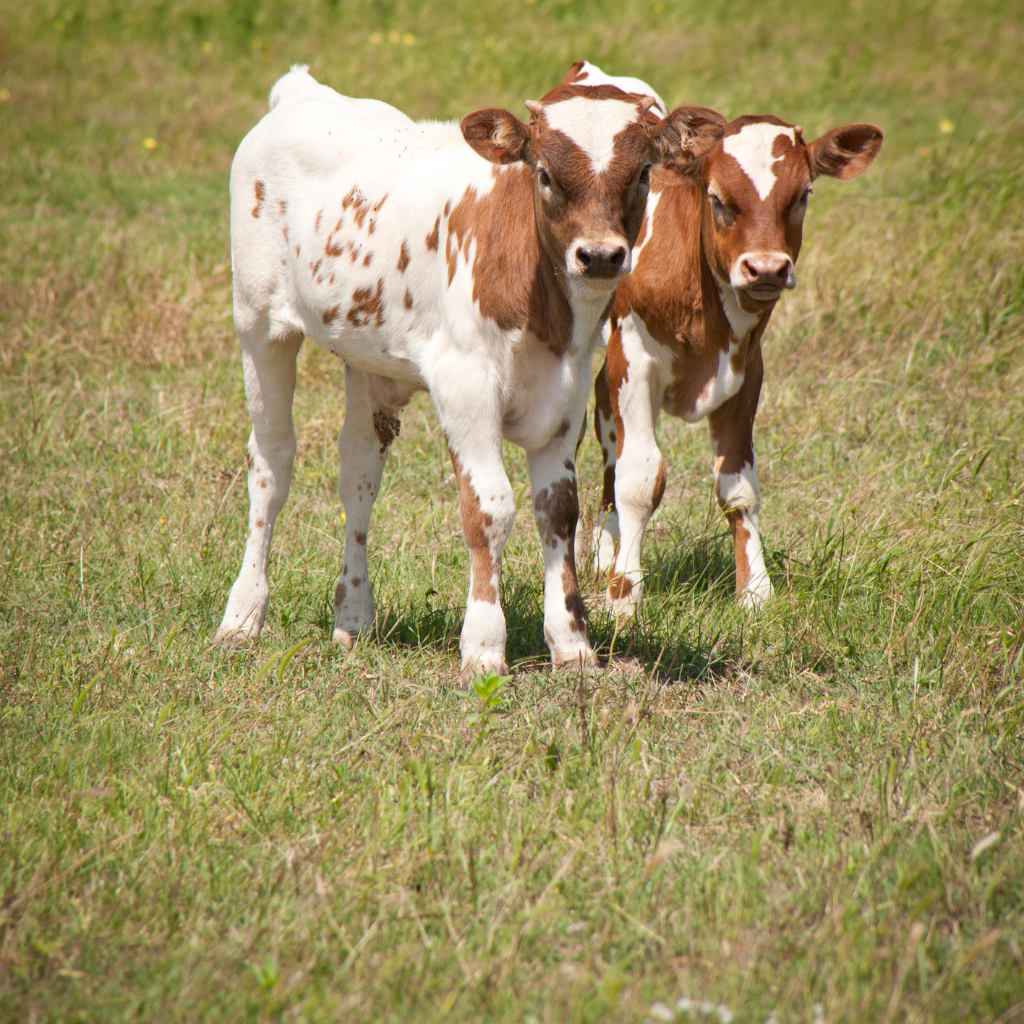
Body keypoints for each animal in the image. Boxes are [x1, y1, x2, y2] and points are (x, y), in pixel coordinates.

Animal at [214, 68, 729, 684]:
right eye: (544, 173)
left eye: (645, 171)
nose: (601, 256)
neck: (547, 315)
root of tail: (301, 92)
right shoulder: (464, 387)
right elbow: (489, 508)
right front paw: (483, 646)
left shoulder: (567, 399)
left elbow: (559, 510)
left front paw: (572, 645)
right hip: (259, 324)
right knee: (271, 463)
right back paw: (242, 616)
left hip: (364, 355)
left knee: (358, 471)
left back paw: (354, 616)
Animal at [593, 109, 880, 610]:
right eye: (718, 198)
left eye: (803, 195)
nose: (766, 268)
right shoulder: (631, 358)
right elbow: (638, 479)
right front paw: (623, 592)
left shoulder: (747, 372)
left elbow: (738, 488)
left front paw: (755, 591)